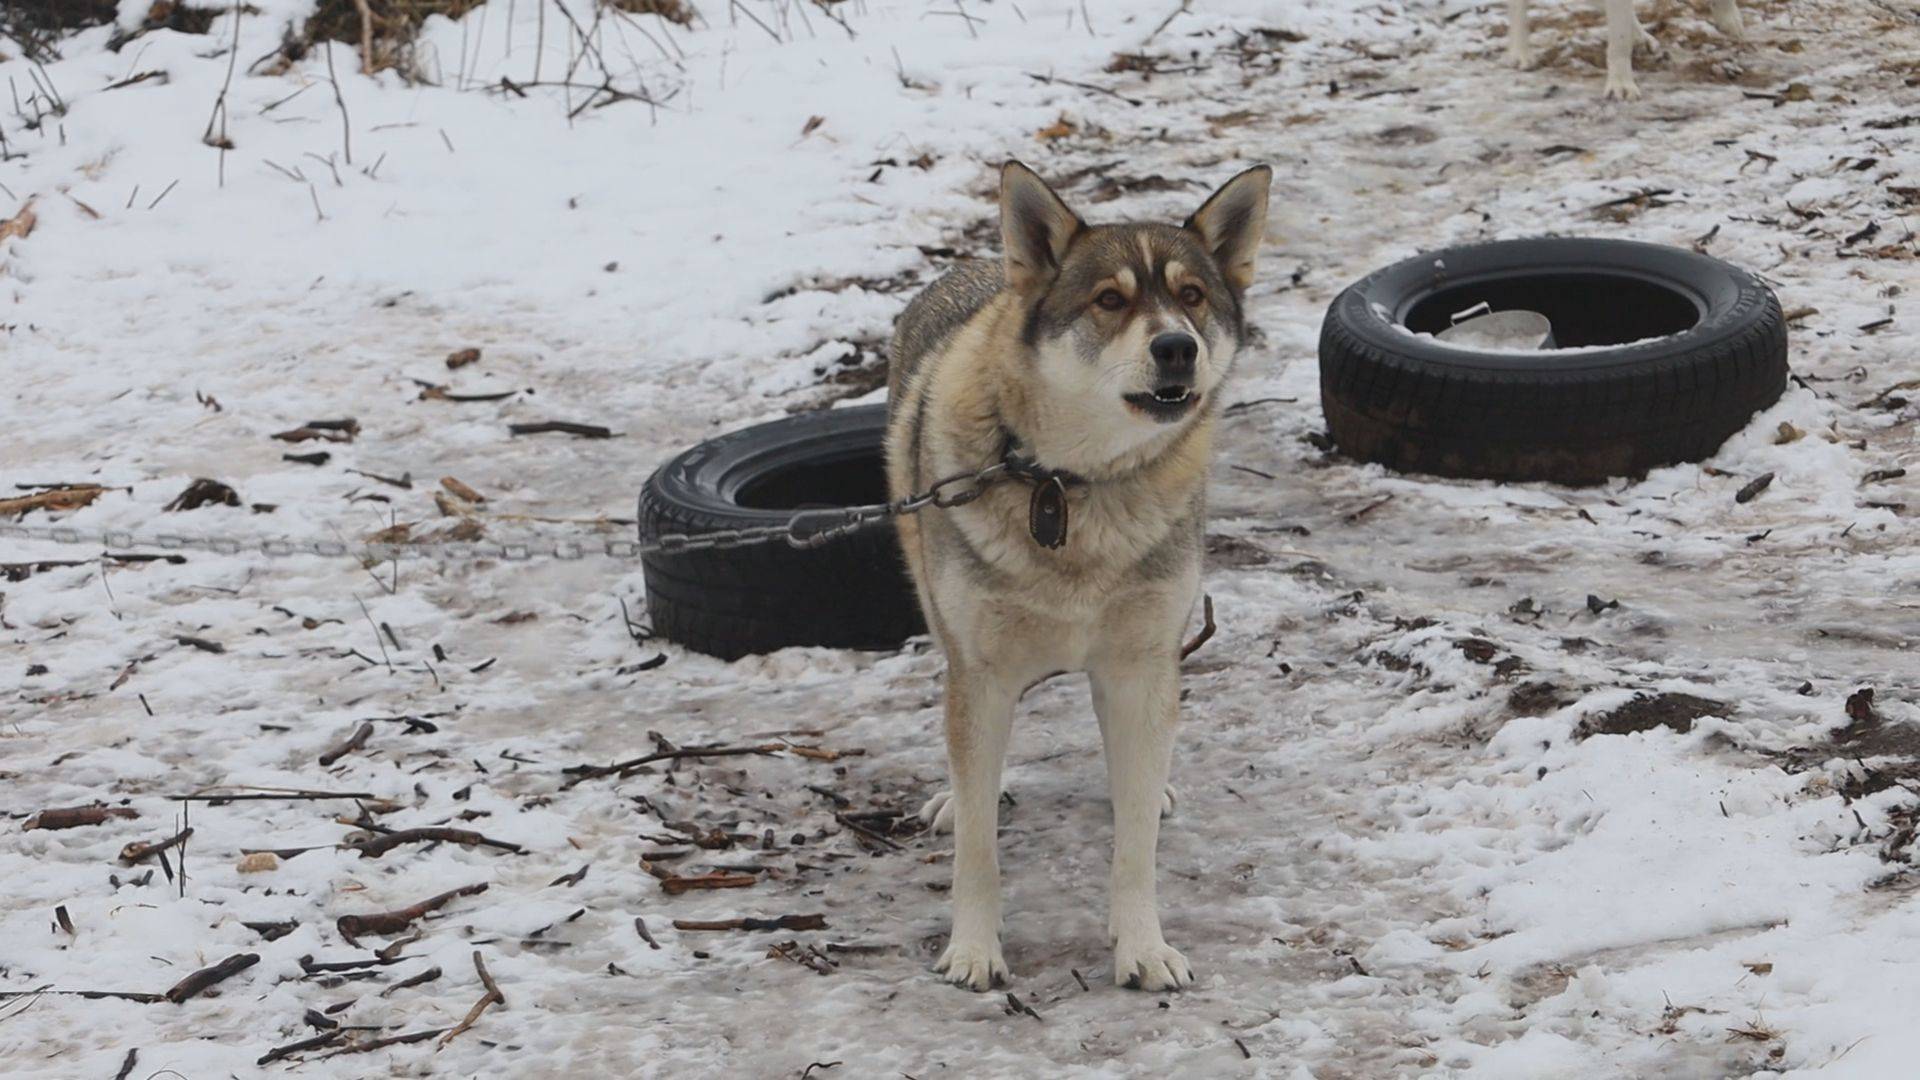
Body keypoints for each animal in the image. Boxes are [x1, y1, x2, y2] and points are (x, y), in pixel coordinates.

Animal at [887, 155, 1274, 991]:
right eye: (1110, 300)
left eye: (1191, 297)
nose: (1177, 348)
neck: (1070, 484)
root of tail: (976, 268)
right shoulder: (982, 675)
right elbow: (977, 852)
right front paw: (974, 950)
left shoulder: (1143, 665)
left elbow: (1135, 852)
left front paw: (1143, 948)